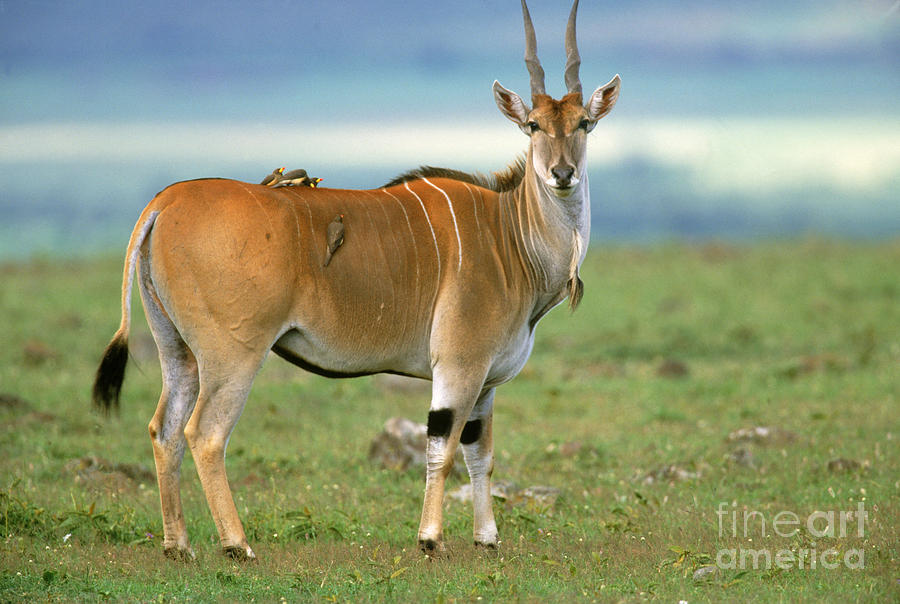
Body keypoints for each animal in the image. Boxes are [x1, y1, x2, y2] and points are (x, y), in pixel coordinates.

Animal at [95, 0, 624, 560]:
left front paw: (487, 538)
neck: (509, 237)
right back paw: (238, 545)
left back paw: (178, 545)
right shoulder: (459, 368)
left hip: (178, 352)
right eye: (532, 125)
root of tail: (167, 200)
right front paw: (431, 539)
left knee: (164, 430)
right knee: (205, 434)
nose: (562, 174)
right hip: (232, 355)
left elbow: (480, 455)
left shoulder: (485, 382)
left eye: (585, 122)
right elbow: (441, 449)